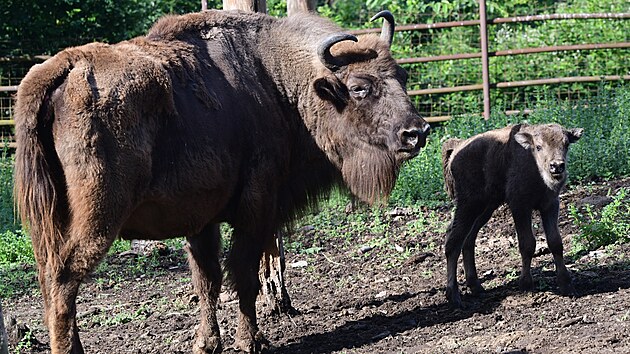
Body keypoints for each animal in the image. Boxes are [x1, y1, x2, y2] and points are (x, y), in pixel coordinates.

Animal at [14, 8, 432, 354]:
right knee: (64, 281)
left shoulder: (202, 221)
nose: (417, 132)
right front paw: (250, 343)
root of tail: (64, 68)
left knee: (50, 283)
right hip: (97, 218)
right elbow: (243, 277)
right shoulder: (256, 208)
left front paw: (207, 344)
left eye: (401, 76)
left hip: (49, 223)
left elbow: (208, 281)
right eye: (360, 87)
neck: (279, 81)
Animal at [442, 124, 584, 306]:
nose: (557, 166)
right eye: (538, 146)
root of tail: (457, 148)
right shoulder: (520, 206)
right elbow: (527, 244)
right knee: (454, 242)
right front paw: (526, 284)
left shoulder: (550, 205)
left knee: (467, 239)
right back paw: (454, 296)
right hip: (469, 205)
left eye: (566, 144)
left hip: (485, 207)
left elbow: (555, 242)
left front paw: (566, 285)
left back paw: (476, 287)